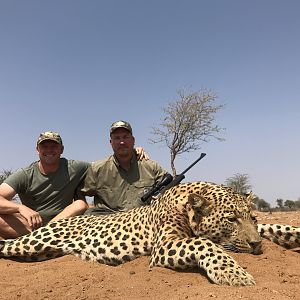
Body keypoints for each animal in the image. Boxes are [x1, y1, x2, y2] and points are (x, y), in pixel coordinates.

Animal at [0, 180, 298, 286]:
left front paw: (291, 233)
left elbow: (275, 227)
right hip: (35, 241)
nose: (257, 245)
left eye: (252, 218)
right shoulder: (164, 246)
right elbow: (204, 243)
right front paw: (234, 274)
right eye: (231, 219)